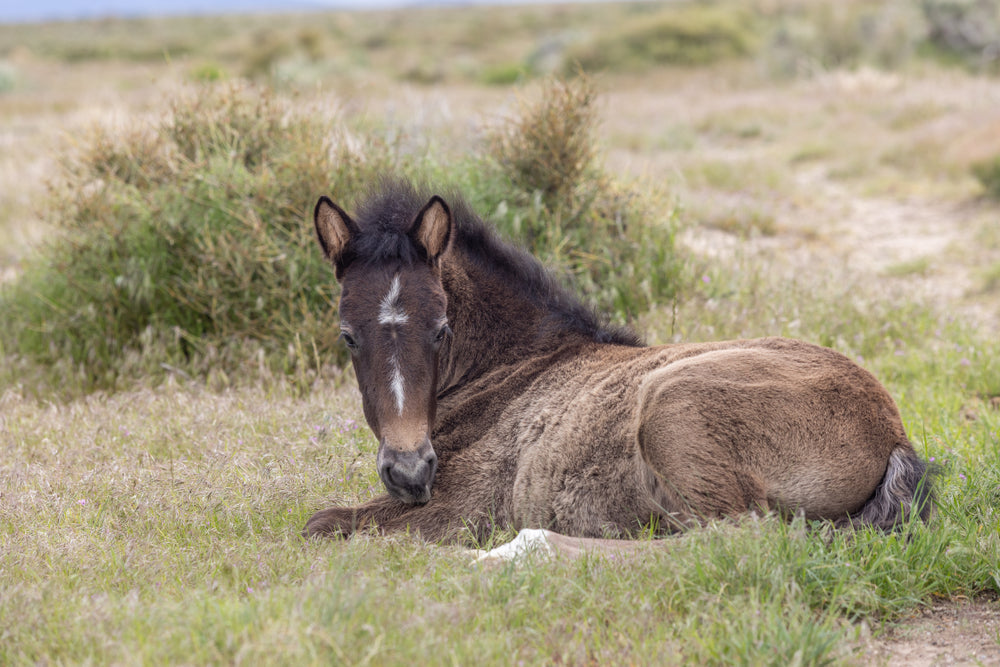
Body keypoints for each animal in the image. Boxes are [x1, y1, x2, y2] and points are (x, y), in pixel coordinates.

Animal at [303, 177, 932, 549]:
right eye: (347, 337)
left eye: (441, 330)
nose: (409, 472)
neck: (511, 369)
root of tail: (894, 433)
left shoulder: (461, 509)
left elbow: (323, 523)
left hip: (672, 407)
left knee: (730, 539)